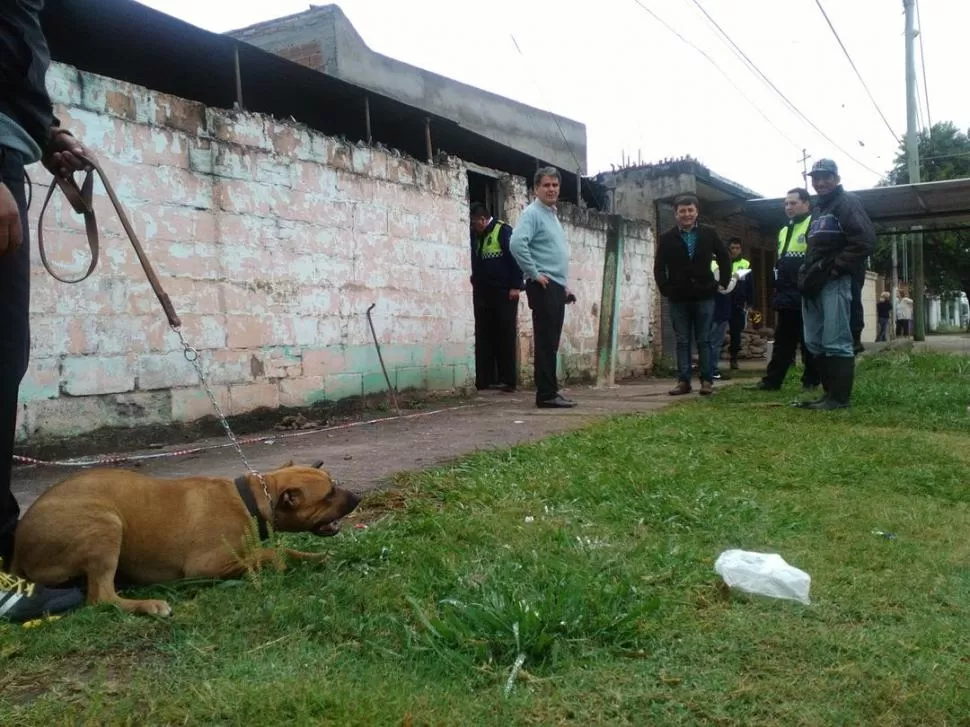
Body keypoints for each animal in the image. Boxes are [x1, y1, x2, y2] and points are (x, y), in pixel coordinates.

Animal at [10, 460, 360, 616]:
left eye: (333, 484)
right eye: (329, 494)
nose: (357, 497)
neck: (251, 499)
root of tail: (18, 551)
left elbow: (286, 550)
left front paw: (312, 558)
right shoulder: (204, 567)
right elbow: (271, 555)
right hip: (105, 523)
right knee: (101, 597)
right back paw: (148, 604)